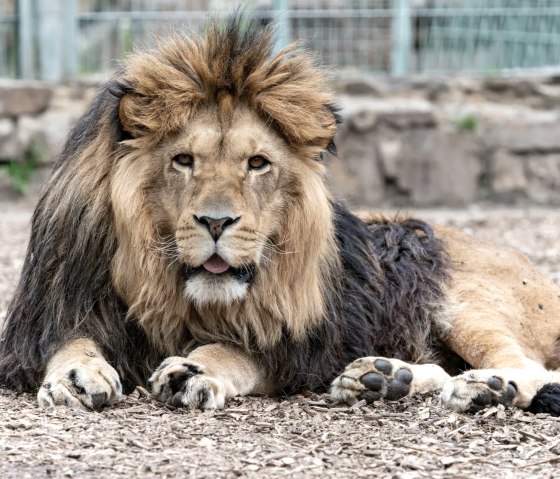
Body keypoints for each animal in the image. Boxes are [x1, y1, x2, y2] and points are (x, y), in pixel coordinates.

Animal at [1, 17, 560, 416]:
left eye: (257, 163)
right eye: (183, 160)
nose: (216, 223)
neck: (161, 281)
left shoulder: (291, 345)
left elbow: (230, 350)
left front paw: (192, 369)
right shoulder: (56, 311)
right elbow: (69, 342)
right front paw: (76, 374)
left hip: (468, 306)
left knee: (529, 369)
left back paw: (484, 388)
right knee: (443, 372)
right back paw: (379, 379)